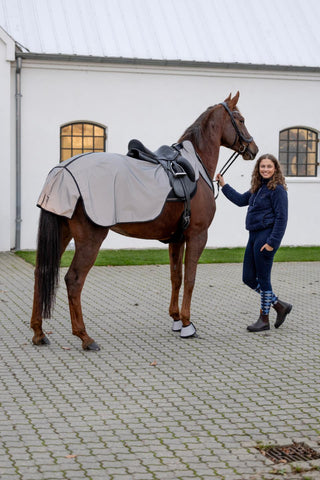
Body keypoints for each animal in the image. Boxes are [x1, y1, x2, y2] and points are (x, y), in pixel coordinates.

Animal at [31, 92, 258, 350]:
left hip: (62, 233)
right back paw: (85, 337)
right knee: (74, 280)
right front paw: (187, 324)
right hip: (91, 239)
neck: (195, 167)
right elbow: (190, 278)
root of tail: (62, 172)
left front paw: (176, 319)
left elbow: (176, 277)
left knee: (41, 273)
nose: (254, 148)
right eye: (240, 120)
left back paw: (39, 333)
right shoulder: (198, 235)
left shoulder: (177, 239)